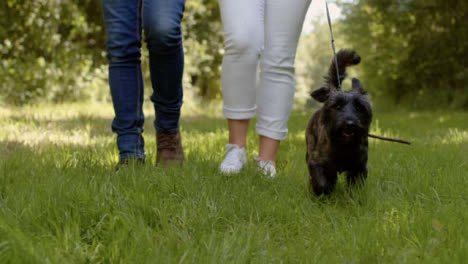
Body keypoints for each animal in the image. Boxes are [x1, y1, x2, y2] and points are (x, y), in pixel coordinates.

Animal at [308, 49, 372, 195]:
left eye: (359, 107)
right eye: (337, 106)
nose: (349, 124)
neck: (344, 146)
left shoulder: (359, 166)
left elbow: (355, 187)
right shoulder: (318, 161)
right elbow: (321, 182)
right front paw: (322, 193)